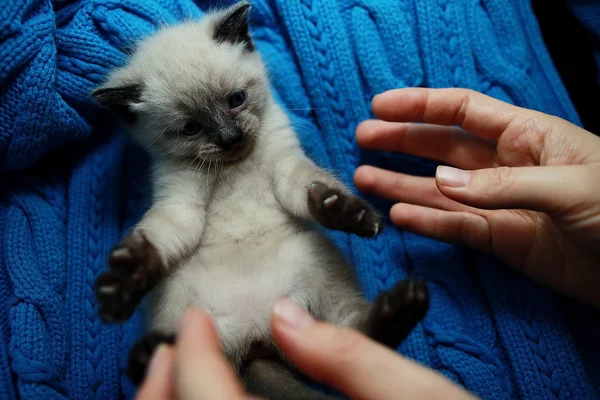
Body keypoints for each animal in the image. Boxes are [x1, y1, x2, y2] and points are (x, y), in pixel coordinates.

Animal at [91, 2, 428, 396]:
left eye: (236, 100)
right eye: (191, 128)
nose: (229, 137)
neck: (236, 166)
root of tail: (255, 336)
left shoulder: (286, 168)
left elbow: (316, 188)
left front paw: (351, 215)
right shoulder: (181, 203)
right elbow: (155, 238)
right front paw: (122, 284)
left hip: (316, 261)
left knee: (355, 329)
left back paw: (400, 307)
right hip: (177, 299)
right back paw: (150, 355)